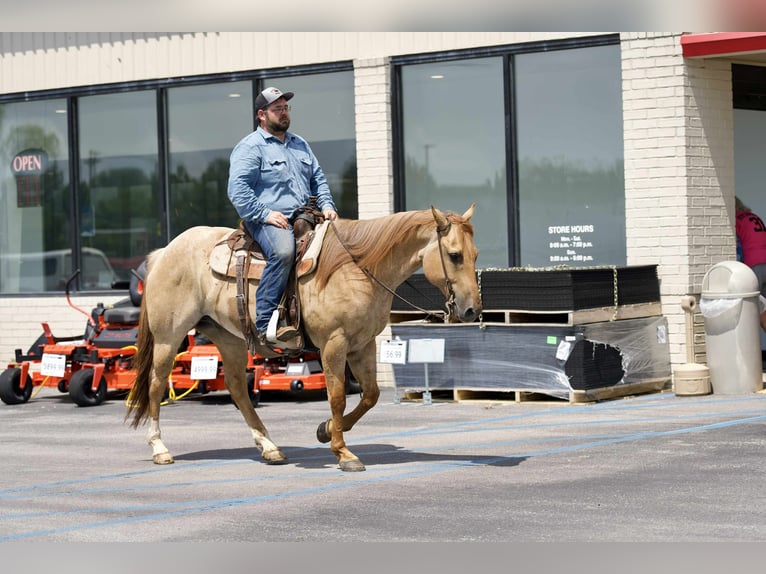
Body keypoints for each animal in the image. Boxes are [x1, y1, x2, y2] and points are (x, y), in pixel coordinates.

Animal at [127, 204, 481, 472]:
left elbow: (370, 395)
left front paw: (327, 430)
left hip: (229, 338)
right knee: (156, 385)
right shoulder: (334, 344)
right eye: (454, 255)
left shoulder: (362, 344)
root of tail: (164, 252)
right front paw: (343, 452)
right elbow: (337, 396)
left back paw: (269, 447)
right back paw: (160, 448)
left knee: (238, 389)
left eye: (475, 254)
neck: (356, 268)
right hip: (168, 337)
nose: (471, 310)